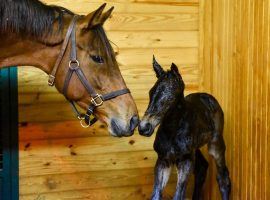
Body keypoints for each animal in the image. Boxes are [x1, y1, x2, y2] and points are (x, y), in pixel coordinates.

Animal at [138, 56, 231, 200]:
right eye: (150, 92)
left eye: (170, 97)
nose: (144, 127)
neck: (172, 130)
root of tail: (207, 96)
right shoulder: (163, 160)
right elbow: (156, 195)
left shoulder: (185, 161)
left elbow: (179, 195)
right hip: (194, 149)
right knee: (202, 167)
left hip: (215, 144)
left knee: (223, 177)